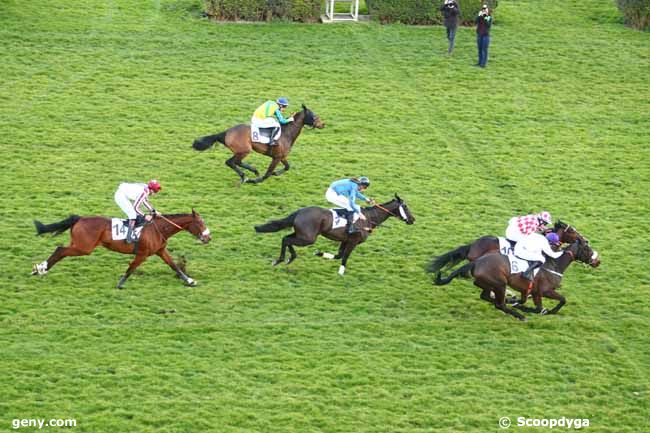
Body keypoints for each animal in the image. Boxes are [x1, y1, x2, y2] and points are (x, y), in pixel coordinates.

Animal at [32, 211, 210, 288]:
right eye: (200, 223)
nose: (208, 238)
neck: (158, 228)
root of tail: (80, 218)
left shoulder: (160, 251)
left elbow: (174, 265)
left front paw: (189, 280)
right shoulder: (143, 254)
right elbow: (132, 268)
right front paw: (120, 284)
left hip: (80, 245)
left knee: (61, 250)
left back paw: (39, 269)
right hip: (84, 247)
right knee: (60, 250)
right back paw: (40, 269)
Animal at [191, 105, 324, 185]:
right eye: (313, 115)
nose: (323, 124)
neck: (286, 133)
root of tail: (226, 132)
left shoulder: (281, 156)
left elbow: (287, 167)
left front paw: (276, 173)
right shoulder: (276, 157)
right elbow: (268, 173)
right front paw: (256, 180)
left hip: (242, 151)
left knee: (235, 162)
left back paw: (252, 172)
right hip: (244, 150)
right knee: (231, 162)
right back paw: (245, 176)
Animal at [254, 195, 416, 276]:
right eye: (406, 207)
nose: (412, 220)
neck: (369, 218)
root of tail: (300, 211)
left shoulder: (346, 240)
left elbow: (338, 255)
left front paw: (319, 253)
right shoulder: (353, 241)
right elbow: (344, 257)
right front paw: (341, 272)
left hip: (302, 234)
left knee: (286, 238)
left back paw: (286, 258)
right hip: (308, 238)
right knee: (286, 239)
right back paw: (282, 259)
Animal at [430, 238, 596, 318]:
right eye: (587, 249)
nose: (597, 261)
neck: (554, 264)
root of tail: (477, 261)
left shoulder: (528, 290)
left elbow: (525, 301)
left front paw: (517, 303)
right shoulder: (543, 291)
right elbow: (557, 301)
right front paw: (541, 310)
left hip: (488, 283)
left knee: (486, 296)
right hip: (500, 284)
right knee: (499, 304)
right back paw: (520, 316)